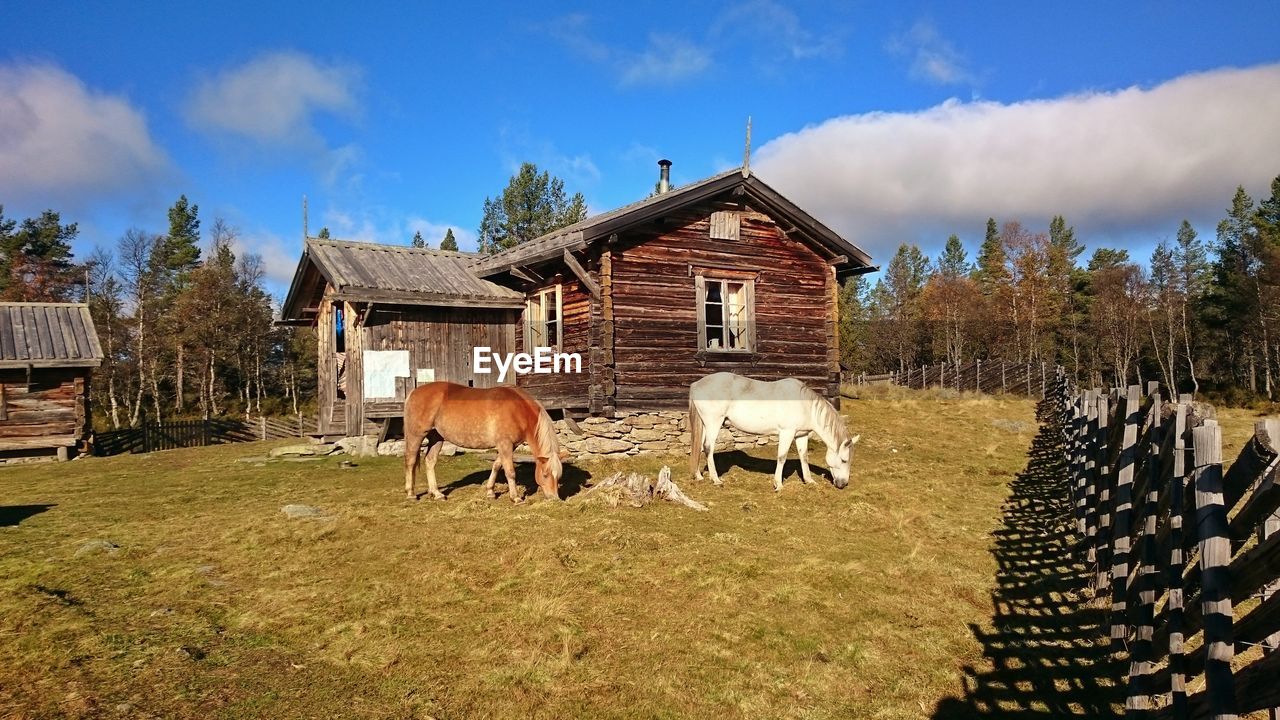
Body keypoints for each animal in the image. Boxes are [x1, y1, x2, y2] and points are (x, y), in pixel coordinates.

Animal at [399, 381, 560, 499]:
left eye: (558, 476)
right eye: (545, 475)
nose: (554, 498)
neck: (518, 410)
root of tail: (414, 392)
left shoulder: (509, 446)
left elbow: (497, 466)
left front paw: (490, 492)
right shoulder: (505, 444)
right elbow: (510, 471)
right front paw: (515, 498)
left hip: (436, 437)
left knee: (430, 461)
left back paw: (437, 493)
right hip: (416, 435)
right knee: (410, 460)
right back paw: (411, 493)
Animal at [691, 368, 860, 486]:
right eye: (844, 460)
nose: (843, 484)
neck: (804, 404)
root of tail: (696, 384)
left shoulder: (801, 435)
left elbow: (804, 457)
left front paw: (809, 481)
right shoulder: (787, 433)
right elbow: (782, 457)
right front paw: (778, 484)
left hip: (705, 424)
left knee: (699, 446)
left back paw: (699, 476)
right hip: (714, 423)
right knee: (708, 447)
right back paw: (715, 480)